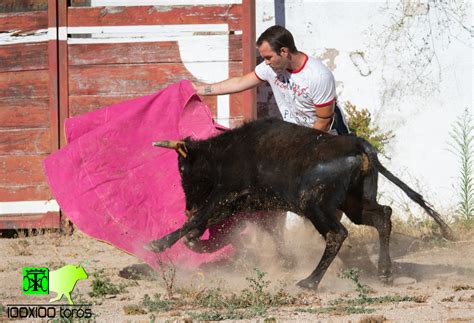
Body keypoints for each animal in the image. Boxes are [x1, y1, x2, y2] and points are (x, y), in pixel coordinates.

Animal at [147, 117, 452, 290]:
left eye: (183, 170)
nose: (187, 206)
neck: (224, 153)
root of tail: (358, 145)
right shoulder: (251, 204)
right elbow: (225, 228)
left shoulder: (227, 193)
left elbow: (204, 217)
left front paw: (158, 244)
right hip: (355, 201)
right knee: (382, 216)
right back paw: (385, 273)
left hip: (314, 203)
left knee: (337, 233)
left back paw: (310, 282)